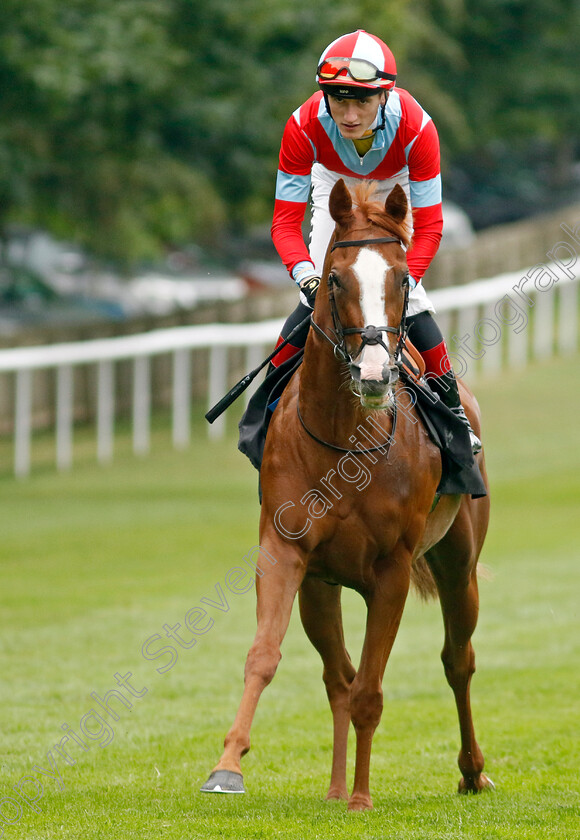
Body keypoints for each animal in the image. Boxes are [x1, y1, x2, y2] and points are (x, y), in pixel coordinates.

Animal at [201, 180, 494, 812]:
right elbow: (267, 658)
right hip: (323, 586)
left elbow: (372, 689)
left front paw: (363, 797)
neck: (345, 439)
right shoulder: (287, 553)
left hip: (459, 561)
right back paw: (336, 788)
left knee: (457, 660)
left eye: (402, 279)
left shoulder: (393, 571)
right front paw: (228, 765)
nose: (376, 372)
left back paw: (471, 770)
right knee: (339, 677)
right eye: (334, 280)